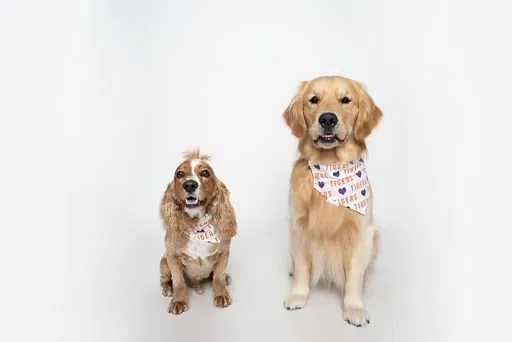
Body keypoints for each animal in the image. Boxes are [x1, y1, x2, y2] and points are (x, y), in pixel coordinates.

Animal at [159, 150, 237, 316]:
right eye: (180, 174)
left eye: (205, 173)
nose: (189, 184)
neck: (197, 225)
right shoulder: (172, 256)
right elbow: (178, 282)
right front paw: (178, 301)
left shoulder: (224, 252)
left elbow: (218, 277)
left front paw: (221, 295)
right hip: (163, 262)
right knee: (165, 278)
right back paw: (167, 287)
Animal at [282, 75, 382, 326]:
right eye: (313, 99)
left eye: (345, 99)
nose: (327, 118)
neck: (329, 167)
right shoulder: (298, 227)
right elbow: (302, 267)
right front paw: (298, 294)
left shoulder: (360, 232)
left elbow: (354, 275)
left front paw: (354, 308)